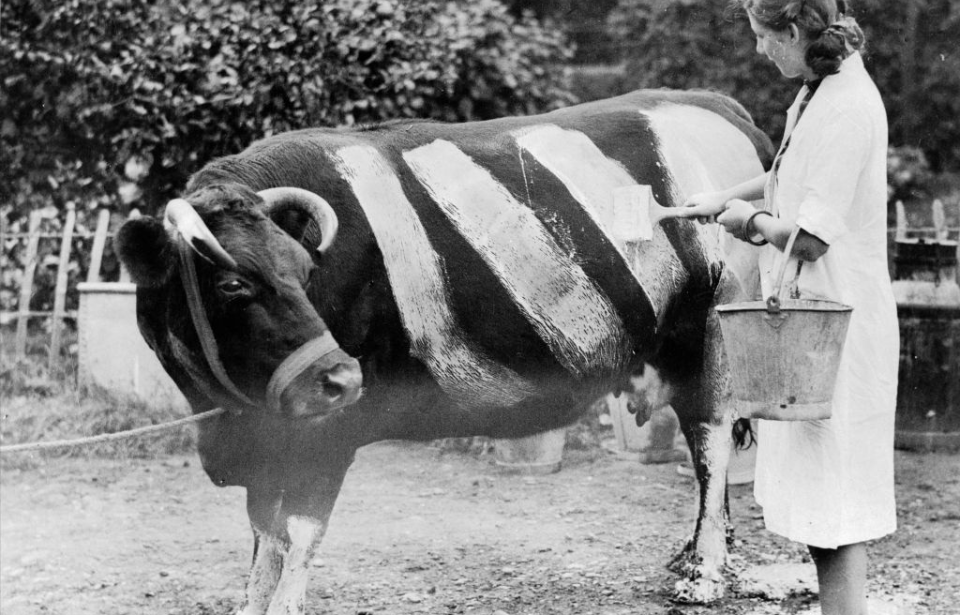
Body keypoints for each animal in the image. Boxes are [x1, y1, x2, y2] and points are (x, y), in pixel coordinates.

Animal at [116, 88, 772, 615]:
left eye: (304, 269)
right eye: (232, 283)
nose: (342, 377)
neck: (230, 418)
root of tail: (715, 103)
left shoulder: (325, 435)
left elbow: (297, 534)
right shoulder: (265, 444)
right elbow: (262, 539)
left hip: (713, 332)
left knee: (709, 443)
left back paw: (705, 576)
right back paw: (692, 558)